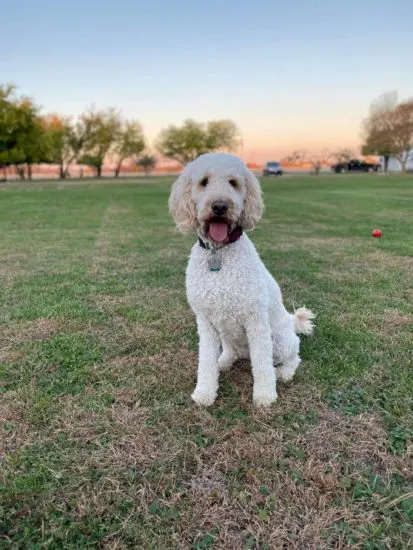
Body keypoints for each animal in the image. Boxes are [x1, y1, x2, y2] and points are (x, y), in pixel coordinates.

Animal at [167, 153, 312, 408]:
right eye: (204, 182)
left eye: (233, 183)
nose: (220, 206)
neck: (219, 253)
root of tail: (292, 321)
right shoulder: (205, 321)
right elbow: (205, 361)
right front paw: (204, 392)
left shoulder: (256, 320)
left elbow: (263, 365)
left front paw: (264, 396)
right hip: (226, 335)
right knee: (231, 353)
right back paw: (224, 361)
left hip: (279, 340)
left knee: (294, 357)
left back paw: (284, 373)